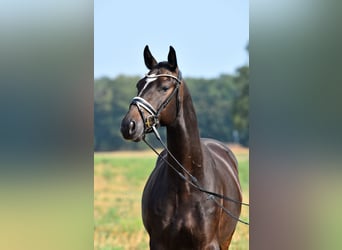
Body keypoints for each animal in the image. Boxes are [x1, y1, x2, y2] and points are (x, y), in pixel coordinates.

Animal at [121, 46, 242, 249]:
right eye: (139, 85)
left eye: (164, 87)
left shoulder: (209, 244)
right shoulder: (159, 243)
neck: (187, 185)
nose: (129, 125)